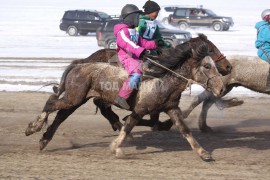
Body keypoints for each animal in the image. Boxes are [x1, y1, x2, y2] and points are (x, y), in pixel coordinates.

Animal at [25, 42, 224, 162]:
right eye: (207, 66)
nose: (221, 88)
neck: (161, 80)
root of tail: (79, 64)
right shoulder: (140, 110)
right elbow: (128, 126)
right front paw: (116, 148)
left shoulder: (171, 108)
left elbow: (185, 130)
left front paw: (204, 153)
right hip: (73, 98)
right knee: (51, 103)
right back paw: (33, 127)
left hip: (76, 99)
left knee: (60, 114)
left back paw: (44, 139)